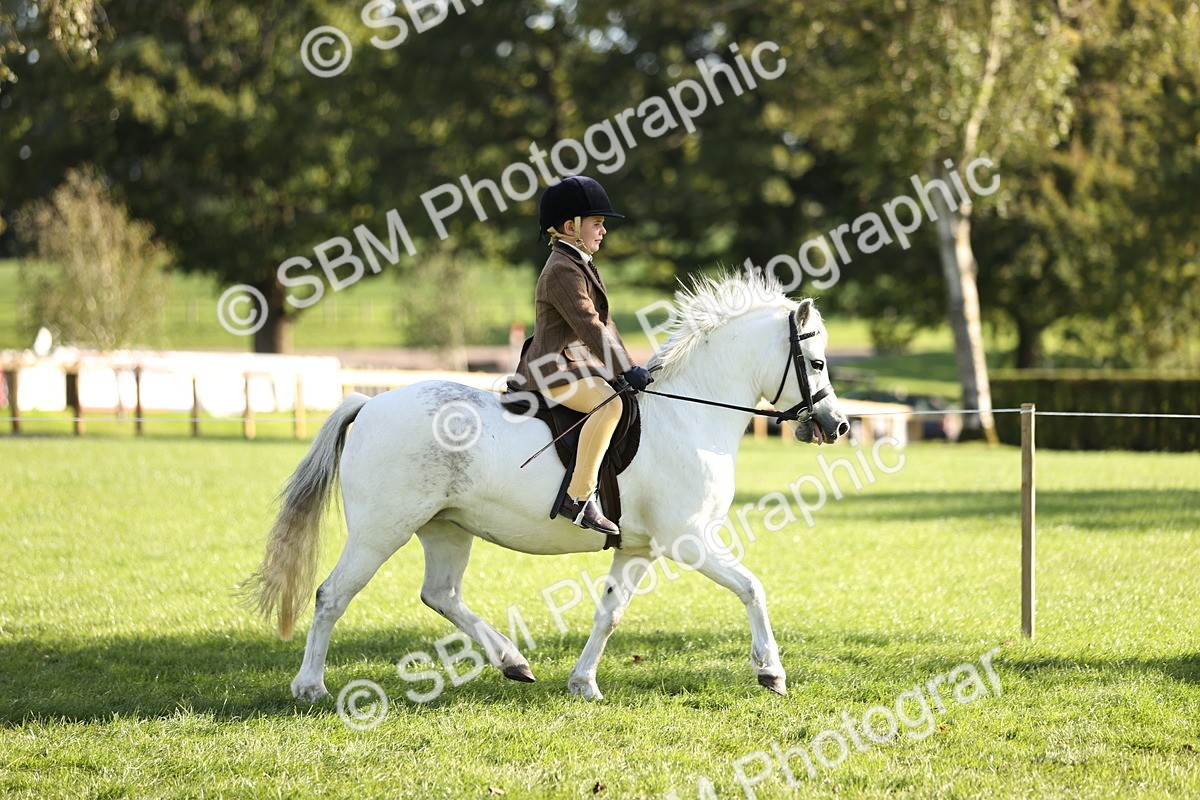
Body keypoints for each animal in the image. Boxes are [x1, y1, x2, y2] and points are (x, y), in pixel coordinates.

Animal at [247, 273, 850, 702]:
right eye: (817, 362)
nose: (837, 425)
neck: (690, 414)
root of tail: (368, 403)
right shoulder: (690, 538)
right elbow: (752, 588)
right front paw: (771, 672)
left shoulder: (638, 548)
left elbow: (609, 613)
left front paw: (583, 683)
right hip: (381, 530)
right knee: (332, 595)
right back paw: (310, 687)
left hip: (445, 528)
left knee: (441, 594)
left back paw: (513, 661)